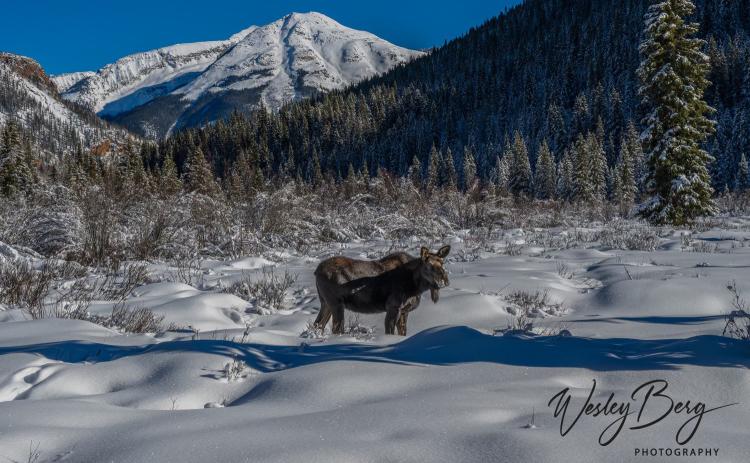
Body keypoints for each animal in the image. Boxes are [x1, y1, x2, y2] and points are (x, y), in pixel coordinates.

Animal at [314, 246, 450, 336]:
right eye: (429, 265)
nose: (444, 281)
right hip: (336, 304)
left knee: (318, 324)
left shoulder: (404, 311)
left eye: (442, 262)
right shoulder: (393, 307)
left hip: (325, 303)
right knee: (335, 329)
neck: (417, 286)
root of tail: (316, 271)